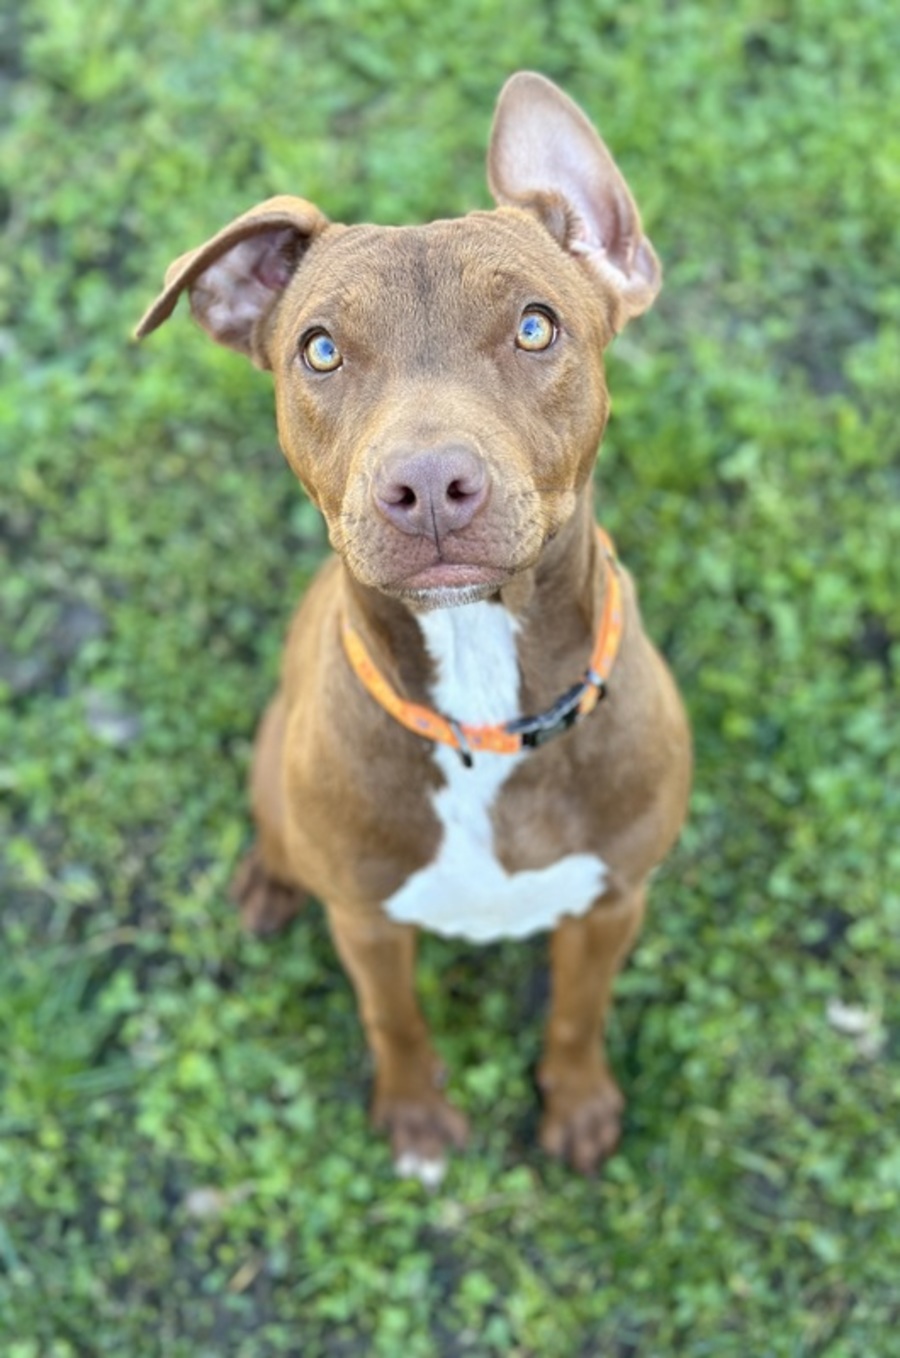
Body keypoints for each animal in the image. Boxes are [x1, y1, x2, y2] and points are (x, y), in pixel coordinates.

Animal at [137, 72, 691, 1182]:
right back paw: (267, 882)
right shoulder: (366, 922)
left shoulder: (615, 902)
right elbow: (392, 1017)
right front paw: (415, 1114)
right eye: (319, 349)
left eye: (535, 327)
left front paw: (577, 1104)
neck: (482, 696)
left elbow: (578, 1012)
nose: (429, 483)